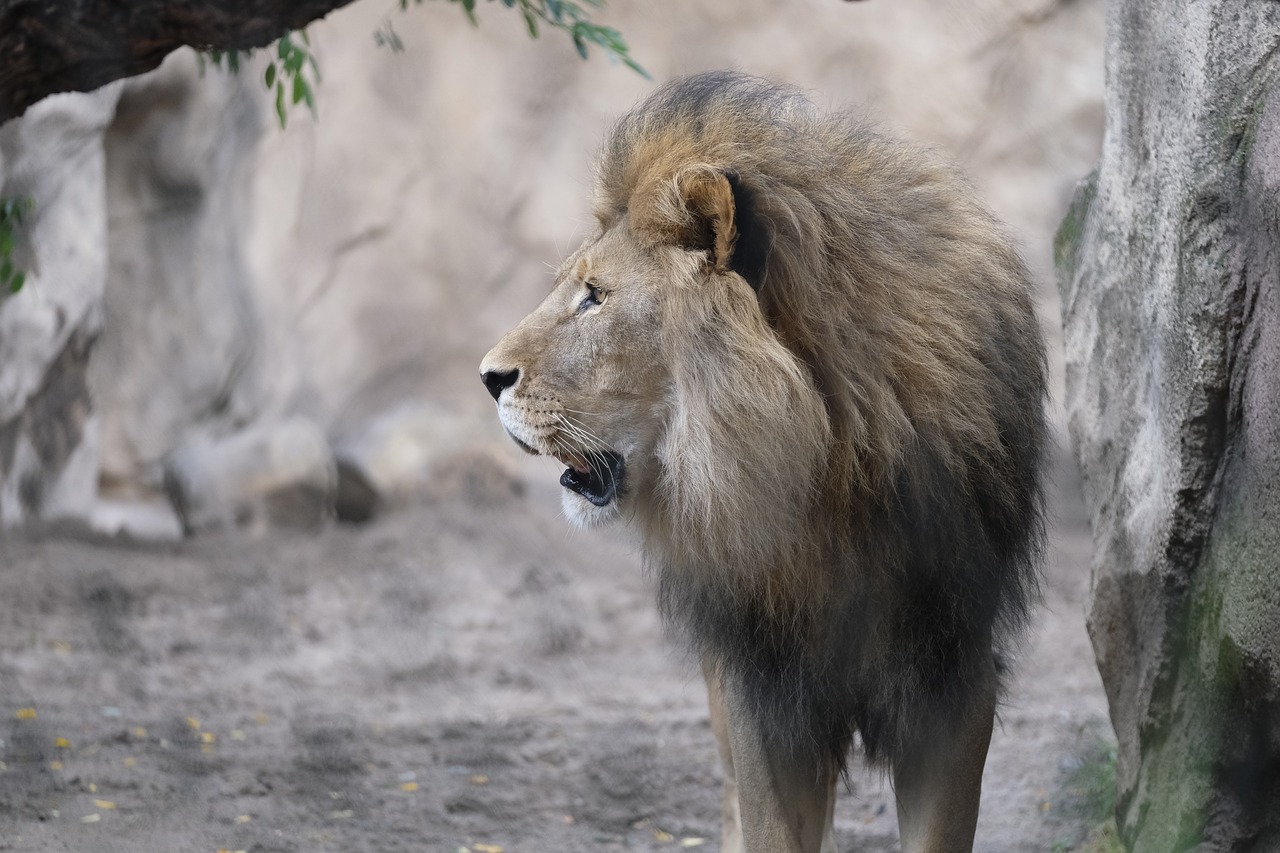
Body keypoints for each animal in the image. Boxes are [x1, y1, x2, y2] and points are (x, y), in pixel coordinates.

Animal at [476, 73, 1044, 850]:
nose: (487, 377)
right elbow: (768, 822)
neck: (826, 471)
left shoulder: (951, 678)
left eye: (595, 297)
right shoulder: (762, 688)